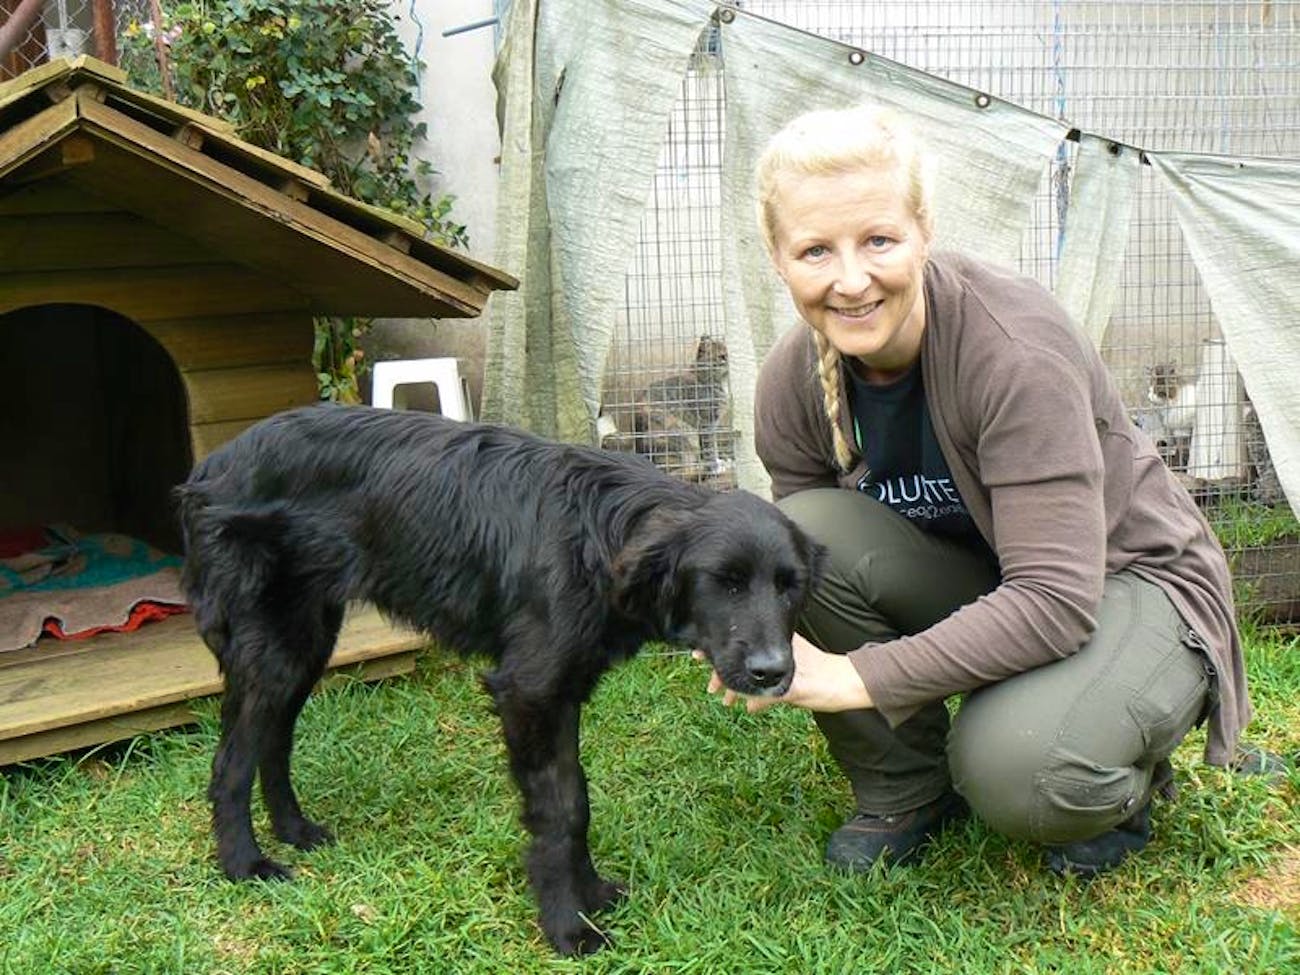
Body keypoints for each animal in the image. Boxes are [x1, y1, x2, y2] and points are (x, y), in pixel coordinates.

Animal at [175, 403, 821, 956]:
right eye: (724, 582)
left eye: (789, 586)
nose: (773, 672)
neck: (600, 535)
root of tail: (211, 467)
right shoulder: (529, 691)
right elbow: (559, 811)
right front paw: (568, 927)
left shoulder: (563, 695)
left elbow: (577, 799)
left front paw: (590, 894)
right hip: (273, 646)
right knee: (231, 762)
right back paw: (245, 865)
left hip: (305, 642)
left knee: (273, 741)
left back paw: (294, 829)